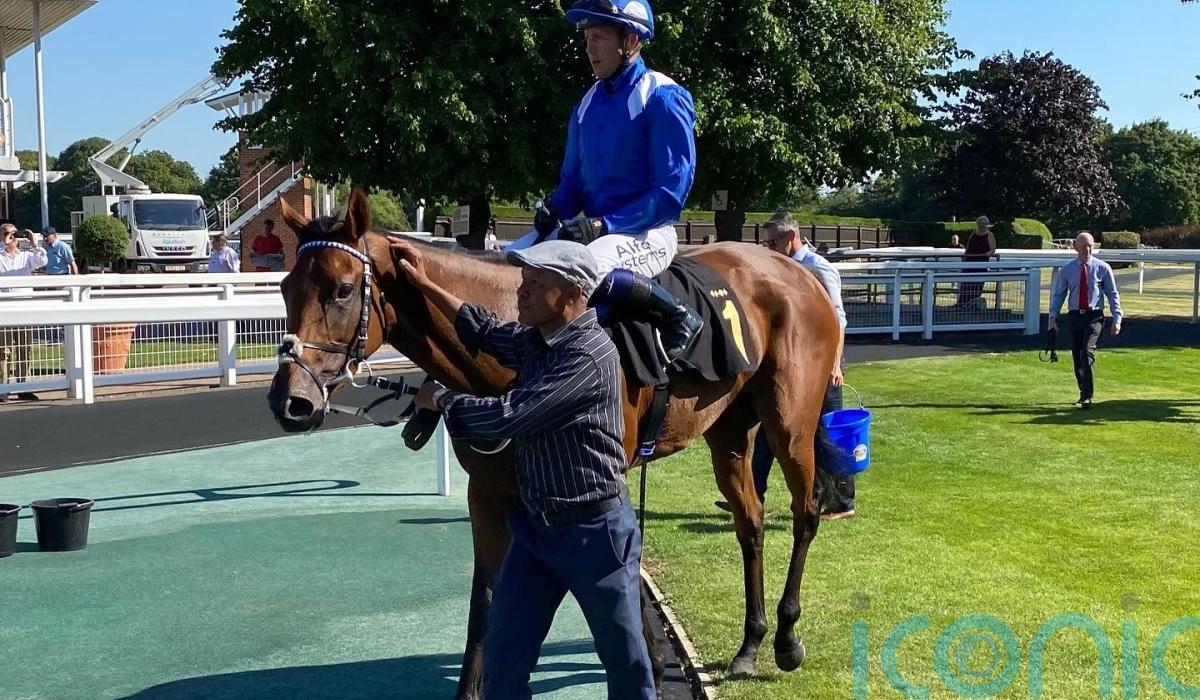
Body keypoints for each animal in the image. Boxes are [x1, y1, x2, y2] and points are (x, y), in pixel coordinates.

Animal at [267, 188, 842, 698]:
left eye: (342, 289)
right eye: (285, 287)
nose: (289, 401)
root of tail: (796, 270)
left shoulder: (607, 474)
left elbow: (620, 575)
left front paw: (653, 664)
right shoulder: (488, 492)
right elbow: (487, 603)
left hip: (789, 422)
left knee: (806, 511)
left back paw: (787, 638)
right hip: (729, 431)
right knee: (750, 521)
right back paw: (750, 643)